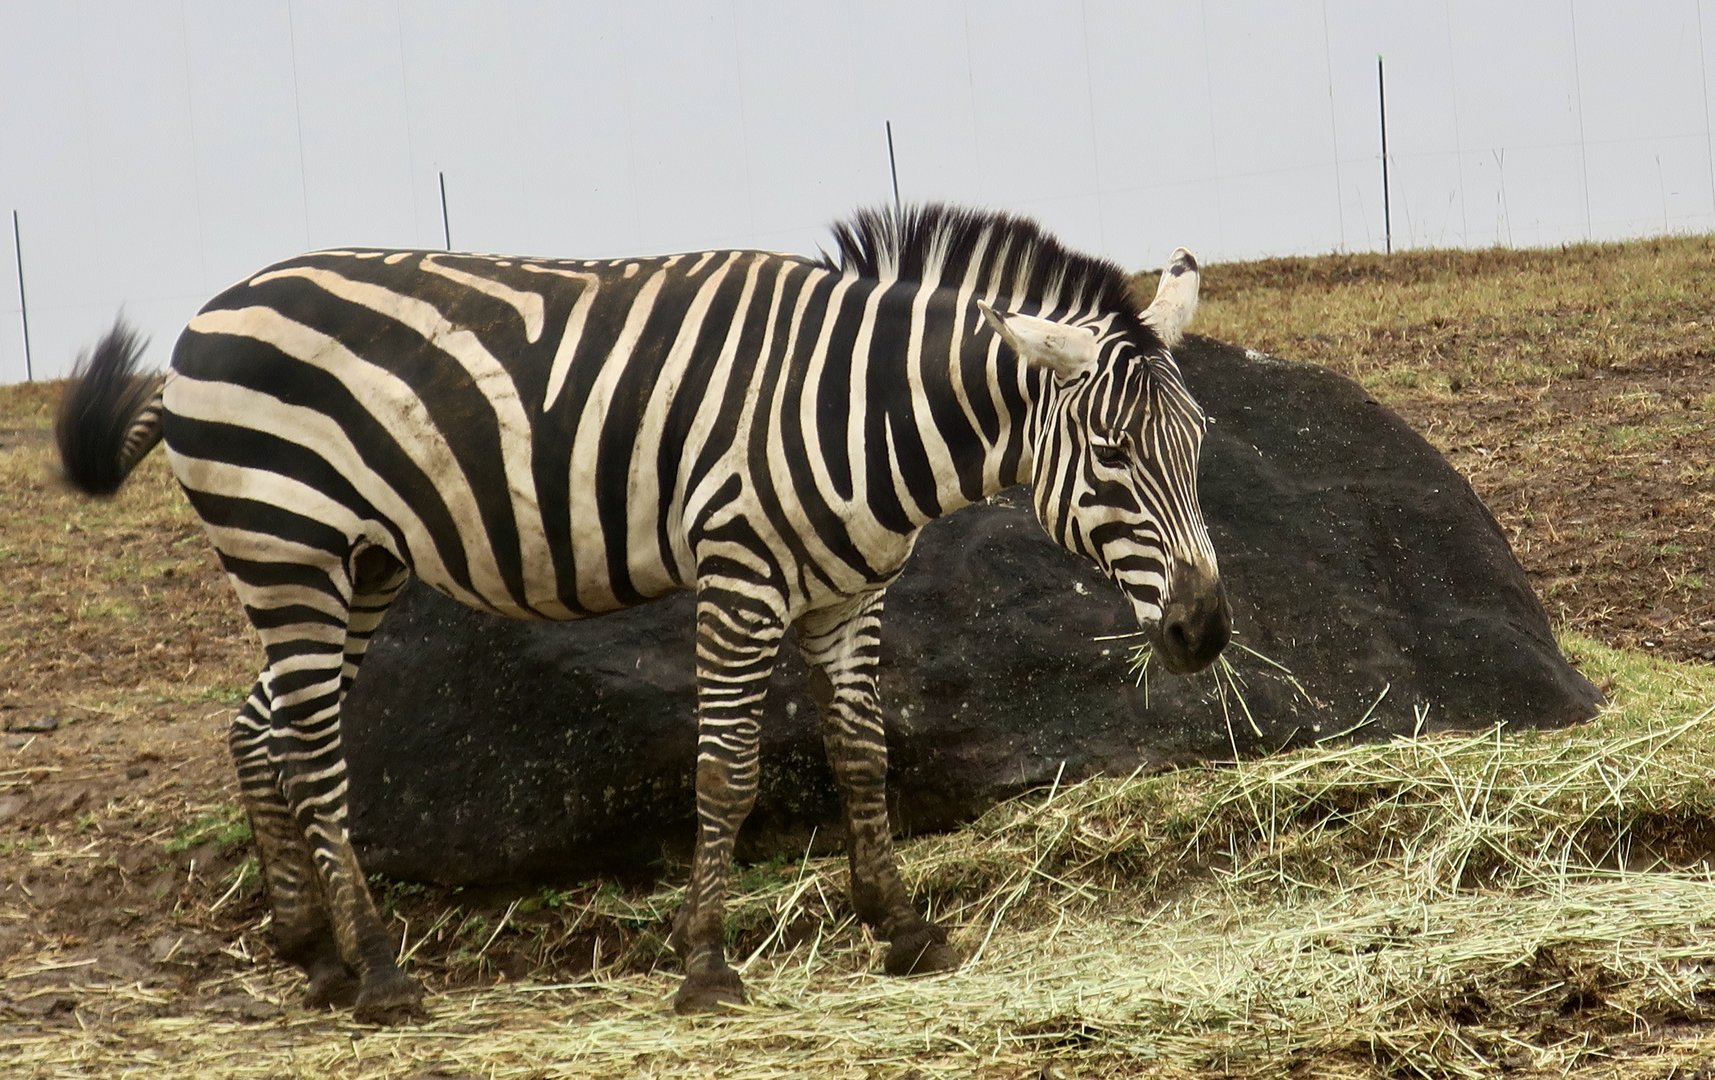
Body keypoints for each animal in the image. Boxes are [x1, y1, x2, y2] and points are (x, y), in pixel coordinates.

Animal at [56, 204, 1230, 1022]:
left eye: (1200, 446)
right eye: (1113, 456)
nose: (1203, 633)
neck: (864, 410)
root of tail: (210, 310)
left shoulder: (849, 595)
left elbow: (863, 756)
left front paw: (903, 930)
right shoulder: (739, 577)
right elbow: (726, 771)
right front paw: (706, 966)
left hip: (360, 561)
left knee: (260, 727)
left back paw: (314, 953)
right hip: (284, 547)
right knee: (309, 749)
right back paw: (382, 977)